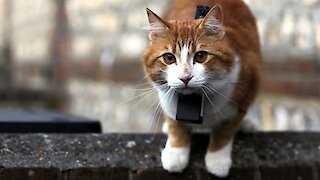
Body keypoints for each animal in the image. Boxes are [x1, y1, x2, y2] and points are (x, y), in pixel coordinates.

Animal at [142, 0, 260, 177]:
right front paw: (176, 153)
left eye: (201, 56)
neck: (195, 99)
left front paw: (217, 159)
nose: (185, 78)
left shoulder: (242, 96)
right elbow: (176, 126)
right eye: (169, 58)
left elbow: (225, 131)